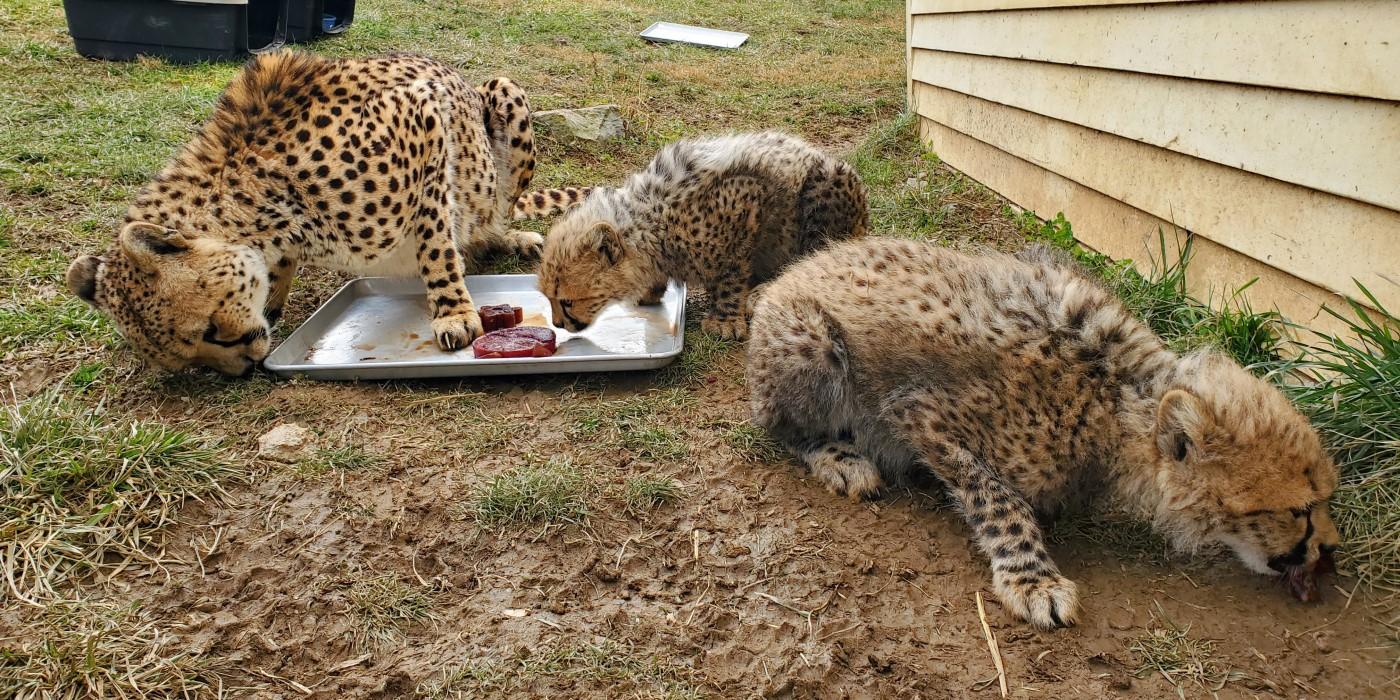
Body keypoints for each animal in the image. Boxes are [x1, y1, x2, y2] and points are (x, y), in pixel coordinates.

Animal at [68, 52, 543, 378]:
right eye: (190, 357)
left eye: (210, 331)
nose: (244, 367)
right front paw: (272, 299)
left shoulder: (420, 115)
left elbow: (435, 240)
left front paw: (453, 311)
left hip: (504, 94)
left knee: (496, 213)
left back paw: (506, 237)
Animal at [534, 132, 862, 340]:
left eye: (566, 301)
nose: (558, 325)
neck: (653, 221)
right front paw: (651, 289)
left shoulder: (745, 198)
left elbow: (730, 271)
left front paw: (724, 319)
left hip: (828, 183)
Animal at [750, 239, 1338, 630]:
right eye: (1299, 509)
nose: (1329, 548)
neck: (1117, 401)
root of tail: (789, 275)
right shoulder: (922, 414)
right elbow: (1000, 501)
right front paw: (1033, 579)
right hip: (813, 347)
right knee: (779, 424)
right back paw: (841, 458)